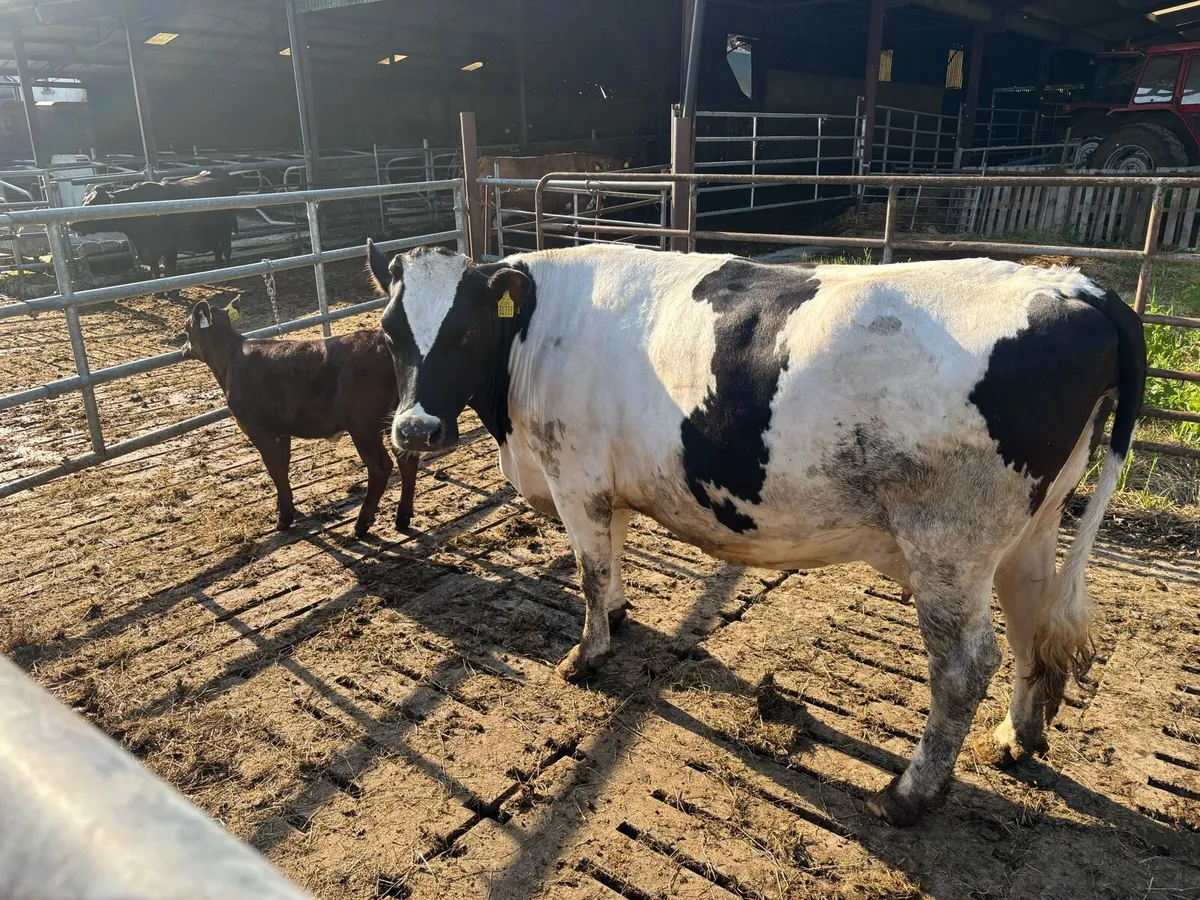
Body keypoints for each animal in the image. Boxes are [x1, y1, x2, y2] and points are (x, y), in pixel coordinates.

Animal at [74, 169, 239, 281]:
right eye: (83, 202)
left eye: (93, 204)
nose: (71, 223)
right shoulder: (148, 252)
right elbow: (155, 271)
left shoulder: (170, 248)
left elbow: (170, 271)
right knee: (217, 251)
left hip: (226, 232)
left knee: (226, 251)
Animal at [181, 295, 418, 539]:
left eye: (186, 328)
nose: (183, 350)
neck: (230, 359)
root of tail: (381, 341)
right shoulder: (281, 431)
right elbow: (282, 468)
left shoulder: (260, 431)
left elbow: (275, 469)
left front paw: (284, 517)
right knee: (407, 459)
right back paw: (402, 517)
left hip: (364, 427)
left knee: (381, 467)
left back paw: (362, 524)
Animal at [368, 241, 1145, 826]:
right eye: (389, 333)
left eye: (466, 331)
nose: (416, 429)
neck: (535, 329)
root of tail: (1075, 285)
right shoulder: (604, 483)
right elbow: (611, 559)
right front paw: (618, 617)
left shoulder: (575, 473)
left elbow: (589, 571)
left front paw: (585, 657)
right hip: (1030, 531)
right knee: (1030, 621)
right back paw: (1017, 737)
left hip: (949, 545)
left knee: (963, 667)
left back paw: (907, 795)